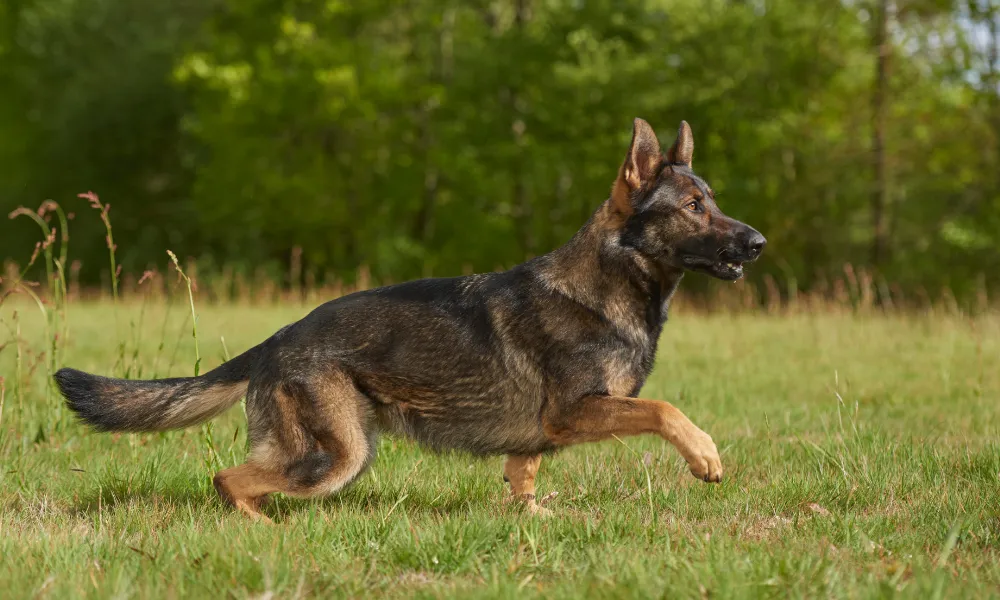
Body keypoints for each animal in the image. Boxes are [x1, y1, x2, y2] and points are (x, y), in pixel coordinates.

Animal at [54, 118, 764, 520]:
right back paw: (265, 535)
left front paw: (531, 521)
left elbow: (523, 479)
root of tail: (277, 338)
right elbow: (665, 410)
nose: (757, 243)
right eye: (694, 207)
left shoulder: (540, 437)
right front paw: (705, 455)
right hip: (335, 457)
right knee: (230, 480)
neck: (606, 287)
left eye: (713, 201)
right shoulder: (576, 412)